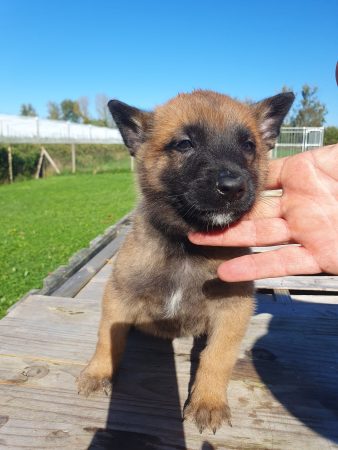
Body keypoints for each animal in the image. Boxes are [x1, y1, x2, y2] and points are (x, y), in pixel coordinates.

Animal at [78, 89, 294, 432]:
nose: (233, 187)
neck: (186, 247)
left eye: (249, 145)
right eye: (184, 144)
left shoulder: (233, 309)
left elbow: (217, 357)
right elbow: (106, 339)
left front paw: (208, 401)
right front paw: (98, 372)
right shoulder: (119, 295)